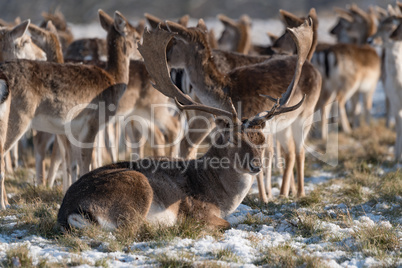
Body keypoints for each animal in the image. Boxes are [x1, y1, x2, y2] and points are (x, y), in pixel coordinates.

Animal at [0, 9, 141, 209]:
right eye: (137, 37)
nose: (143, 56)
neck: (112, 79)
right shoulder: (91, 124)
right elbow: (85, 163)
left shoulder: (73, 129)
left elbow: (73, 163)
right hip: (18, 116)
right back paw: (4, 205)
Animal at [56, 22, 308, 230]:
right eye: (233, 139)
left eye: (261, 139)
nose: (256, 165)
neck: (219, 195)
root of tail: (71, 212)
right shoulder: (199, 212)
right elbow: (227, 223)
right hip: (137, 188)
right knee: (131, 229)